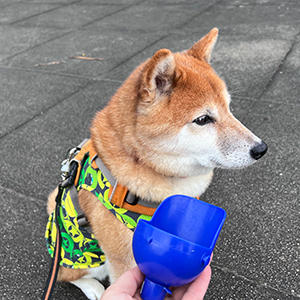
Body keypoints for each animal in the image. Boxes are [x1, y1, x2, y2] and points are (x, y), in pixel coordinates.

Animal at [46, 27, 268, 298]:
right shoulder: (123, 258)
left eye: (228, 108)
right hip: (85, 256)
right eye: (203, 119)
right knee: (65, 275)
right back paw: (94, 288)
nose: (261, 149)